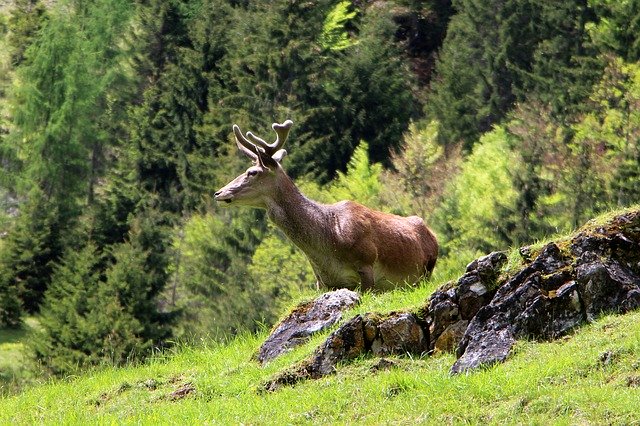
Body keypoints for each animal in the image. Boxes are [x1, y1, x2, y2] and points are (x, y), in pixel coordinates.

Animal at [215, 120, 440, 292]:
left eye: (252, 172)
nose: (218, 193)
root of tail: (432, 235)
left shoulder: (367, 262)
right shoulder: (323, 282)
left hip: (426, 271)